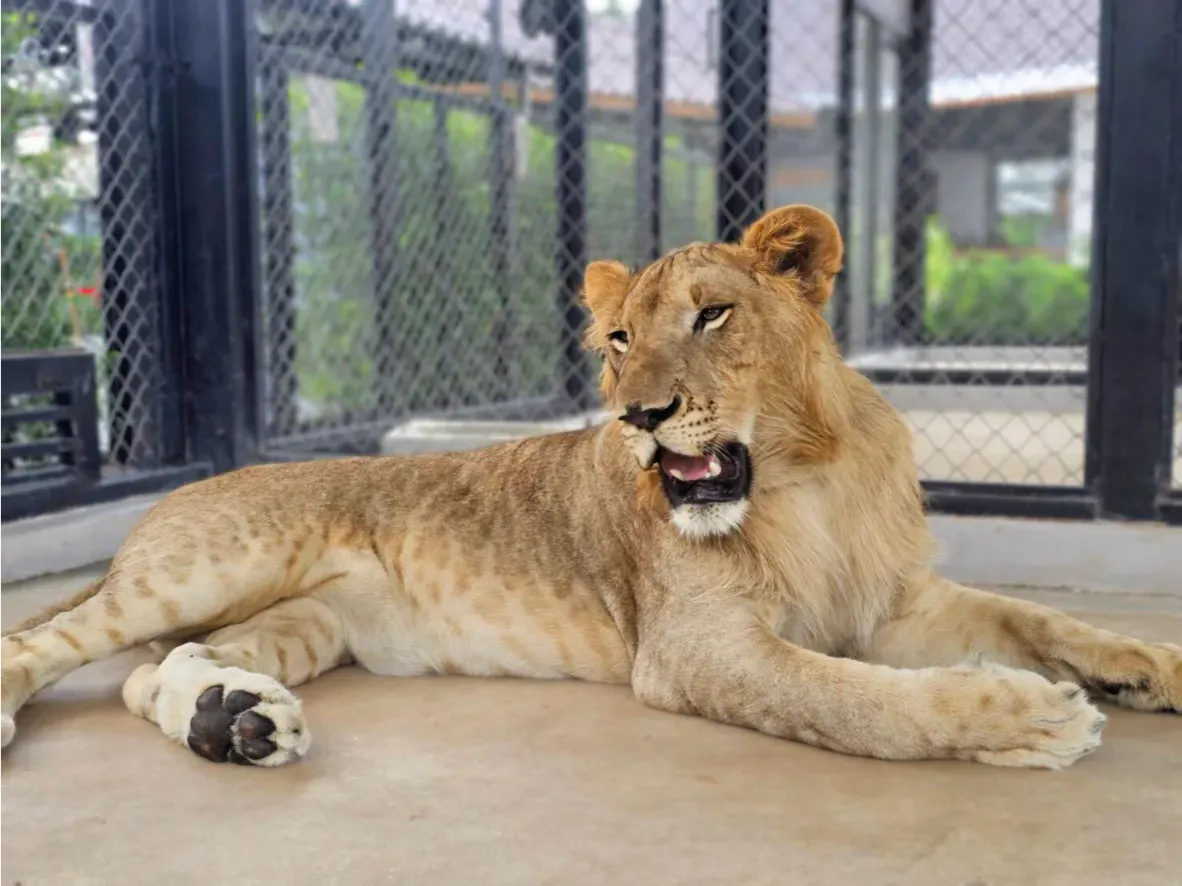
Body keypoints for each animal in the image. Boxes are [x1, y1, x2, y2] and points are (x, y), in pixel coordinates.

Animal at [2, 204, 1179, 770]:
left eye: (712, 314)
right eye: (618, 339)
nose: (639, 417)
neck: (808, 480)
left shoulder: (894, 603)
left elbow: (1035, 618)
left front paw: (1147, 667)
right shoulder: (696, 650)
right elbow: (858, 702)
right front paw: (1029, 720)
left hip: (306, 620)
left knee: (152, 672)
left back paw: (232, 721)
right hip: (212, 566)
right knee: (52, 645)